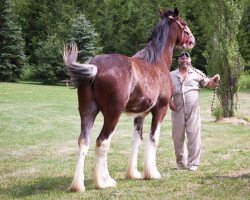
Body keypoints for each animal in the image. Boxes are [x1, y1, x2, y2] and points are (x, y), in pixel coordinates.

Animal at [63, 7, 195, 192]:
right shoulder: (160, 110)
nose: (192, 40)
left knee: (84, 141)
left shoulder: (140, 115)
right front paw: (152, 173)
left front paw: (133, 173)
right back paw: (104, 181)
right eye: (184, 24)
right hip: (113, 115)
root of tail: (95, 67)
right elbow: (153, 138)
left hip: (87, 112)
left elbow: (136, 140)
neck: (157, 62)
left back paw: (78, 185)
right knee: (102, 142)